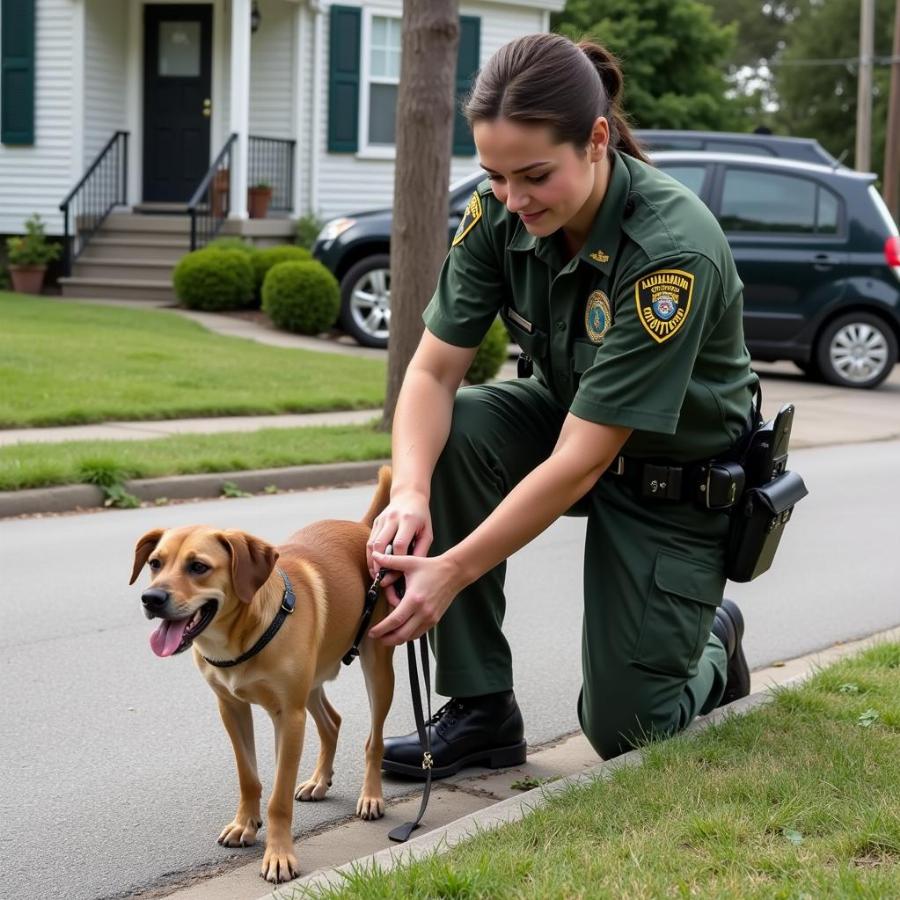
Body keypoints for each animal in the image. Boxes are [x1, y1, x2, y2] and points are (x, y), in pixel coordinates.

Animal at [129, 468, 394, 884]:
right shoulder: (232, 710)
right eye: (156, 563)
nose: (151, 598)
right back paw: (319, 780)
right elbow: (248, 777)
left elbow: (278, 798)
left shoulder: (289, 717)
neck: (240, 636)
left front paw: (279, 854)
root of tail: (363, 528)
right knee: (332, 722)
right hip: (312, 683)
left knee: (374, 739)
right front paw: (245, 825)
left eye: (198, 567)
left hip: (377, 667)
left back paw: (371, 795)